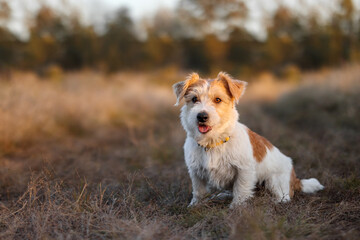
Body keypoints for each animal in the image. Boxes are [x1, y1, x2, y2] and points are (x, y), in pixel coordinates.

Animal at [173, 71, 324, 208]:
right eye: (194, 99)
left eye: (217, 100)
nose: (202, 116)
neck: (213, 142)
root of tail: (295, 179)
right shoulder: (196, 172)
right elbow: (199, 191)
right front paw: (195, 205)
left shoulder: (243, 170)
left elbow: (241, 189)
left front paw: (237, 207)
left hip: (274, 180)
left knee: (284, 197)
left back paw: (272, 202)